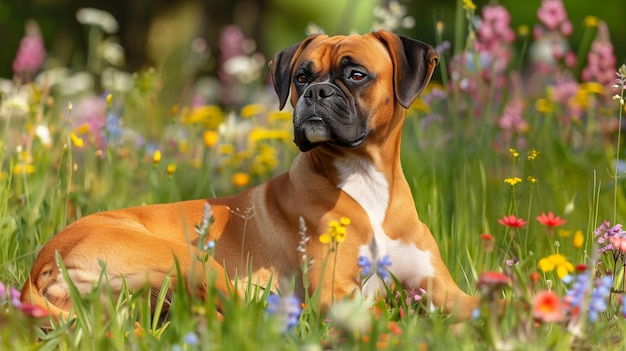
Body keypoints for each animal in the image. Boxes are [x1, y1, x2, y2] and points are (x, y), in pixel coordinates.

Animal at [20, 31, 478, 324]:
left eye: (356, 74)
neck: (364, 180)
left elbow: (478, 304)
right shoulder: (337, 295)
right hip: (197, 262)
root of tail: (43, 261)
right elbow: (383, 311)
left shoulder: (442, 288)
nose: (317, 92)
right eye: (301, 77)